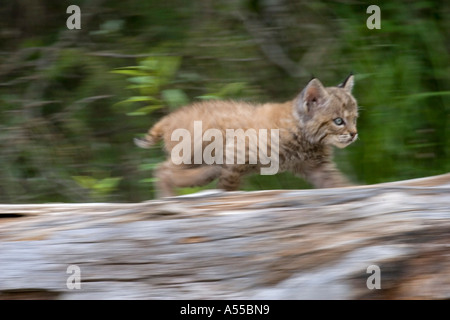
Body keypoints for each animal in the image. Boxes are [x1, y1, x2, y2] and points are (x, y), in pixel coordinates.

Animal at [135, 75, 360, 198]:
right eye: (338, 121)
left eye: (354, 119)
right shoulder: (236, 156)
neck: (305, 136)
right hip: (195, 150)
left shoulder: (318, 166)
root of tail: (170, 117)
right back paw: (169, 195)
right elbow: (228, 187)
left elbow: (339, 184)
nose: (354, 134)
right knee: (163, 169)